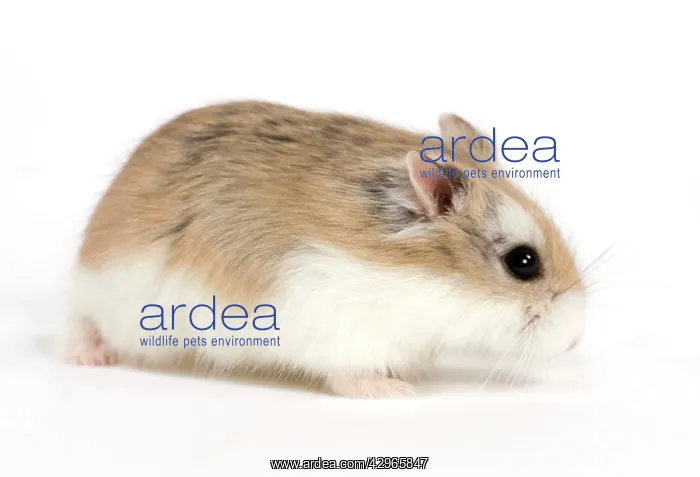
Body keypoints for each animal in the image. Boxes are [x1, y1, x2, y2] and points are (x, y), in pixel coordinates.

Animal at [63, 101, 585, 397]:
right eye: (523, 263)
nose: (576, 342)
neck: (430, 286)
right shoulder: (341, 330)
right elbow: (350, 376)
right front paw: (396, 391)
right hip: (114, 293)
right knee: (82, 318)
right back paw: (89, 357)